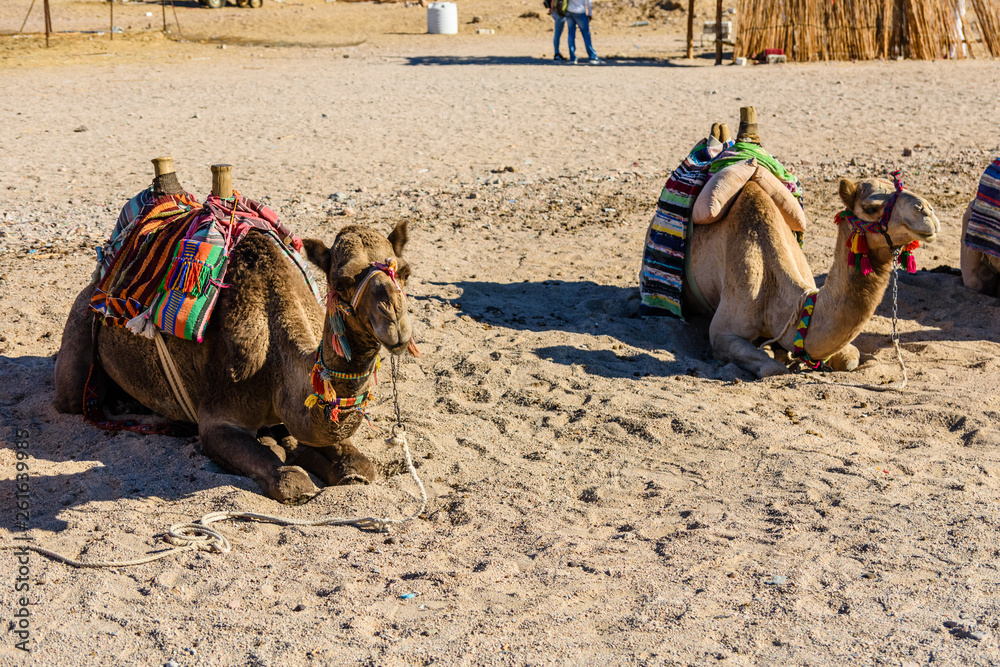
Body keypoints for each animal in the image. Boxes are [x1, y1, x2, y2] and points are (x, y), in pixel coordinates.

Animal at [54, 168, 414, 504]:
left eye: (405, 272)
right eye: (340, 282)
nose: (395, 323)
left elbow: (358, 464)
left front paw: (331, 460)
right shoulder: (219, 416)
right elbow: (289, 478)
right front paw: (284, 458)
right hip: (79, 330)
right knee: (73, 395)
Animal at [685, 170, 939, 378]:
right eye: (871, 208)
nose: (926, 211)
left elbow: (850, 358)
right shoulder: (722, 333)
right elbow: (773, 368)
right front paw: (774, 354)